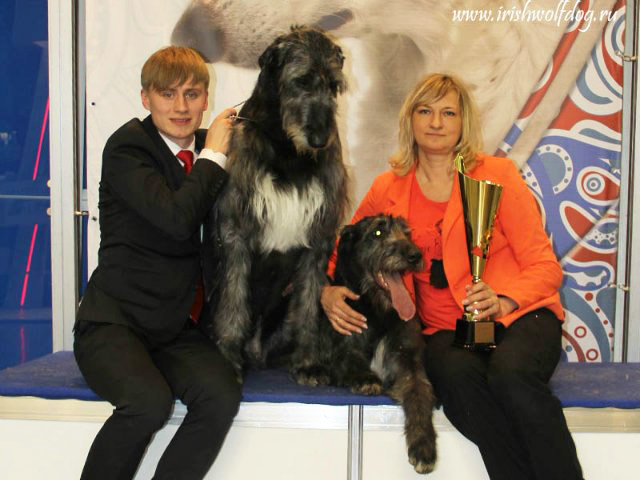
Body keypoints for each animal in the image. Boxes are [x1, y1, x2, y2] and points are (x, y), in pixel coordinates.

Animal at [202, 26, 348, 380]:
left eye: (333, 85)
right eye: (302, 80)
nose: (320, 140)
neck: (287, 151)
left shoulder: (319, 238)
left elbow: (308, 304)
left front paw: (308, 362)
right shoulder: (236, 231)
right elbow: (234, 300)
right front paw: (228, 358)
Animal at [308, 216, 438, 474]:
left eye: (407, 232)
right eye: (377, 232)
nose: (415, 255)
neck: (379, 312)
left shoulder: (408, 360)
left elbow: (420, 392)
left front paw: (423, 445)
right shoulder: (344, 350)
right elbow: (351, 360)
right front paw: (366, 379)